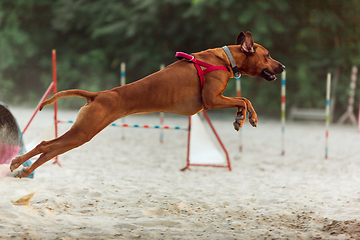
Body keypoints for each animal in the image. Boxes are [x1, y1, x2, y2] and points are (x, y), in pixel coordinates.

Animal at [10, 31, 284, 177]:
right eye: (268, 55)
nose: (282, 67)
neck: (225, 59)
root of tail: (97, 95)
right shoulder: (211, 100)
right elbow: (244, 99)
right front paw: (247, 117)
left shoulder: (216, 100)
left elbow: (243, 100)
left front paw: (242, 117)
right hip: (83, 131)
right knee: (45, 144)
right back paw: (16, 162)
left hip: (81, 135)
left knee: (50, 150)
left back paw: (24, 169)